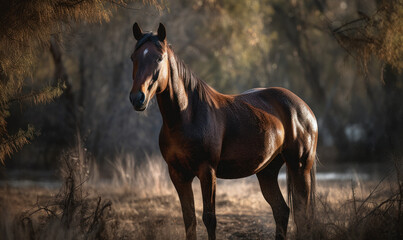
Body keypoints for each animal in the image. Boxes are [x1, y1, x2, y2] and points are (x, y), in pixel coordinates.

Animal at [129, 21, 318, 239]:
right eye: (133, 57)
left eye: (159, 58)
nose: (137, 98)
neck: (186, 116)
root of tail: (304, 108)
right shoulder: (178, 174)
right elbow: (189, 220)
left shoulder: (207, 171)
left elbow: (209, 219)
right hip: (267, 171)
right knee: (281, 211)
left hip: (300, 167)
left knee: (303, 217)